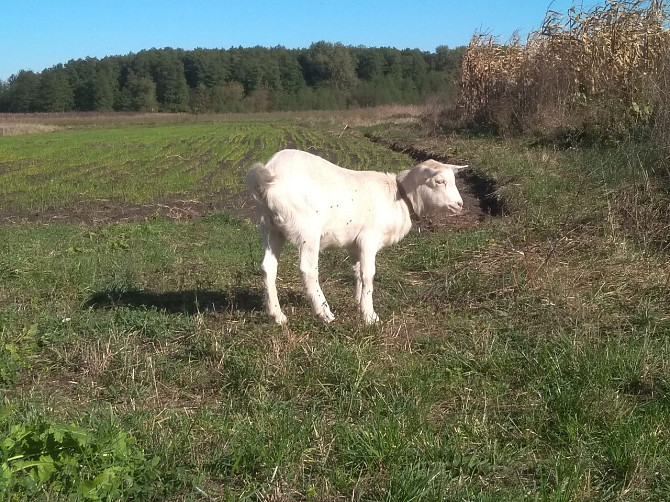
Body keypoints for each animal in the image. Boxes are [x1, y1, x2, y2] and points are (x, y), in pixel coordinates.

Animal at [248, 148, 468, 326]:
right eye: (439, 181)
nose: (459, 204)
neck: (400, 197)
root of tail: (269, 175)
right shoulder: (369, 238)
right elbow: (368, 274)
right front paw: (369, 315)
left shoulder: (354, 243)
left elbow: (357, 271)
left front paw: (357, 301)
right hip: (307, 228)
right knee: (307, 270)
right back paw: (324, 313)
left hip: (270, 227)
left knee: (268, 267)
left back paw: (277, 315)